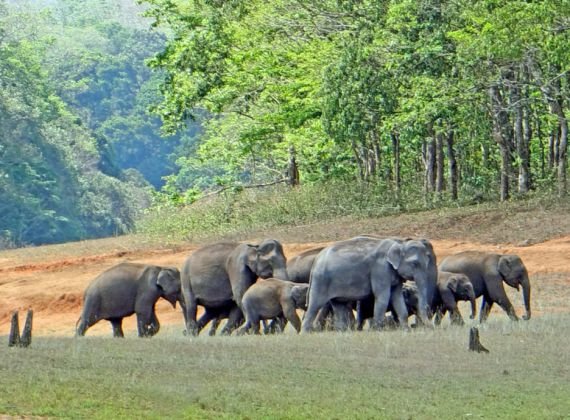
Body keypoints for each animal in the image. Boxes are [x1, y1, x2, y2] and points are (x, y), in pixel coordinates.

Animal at [302, 236, 430, 332]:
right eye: (414, 263)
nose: (429, 327)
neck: (399, 244)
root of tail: (316, 259)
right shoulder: (380, 269)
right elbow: (383, 297)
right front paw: (379, 331)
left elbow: (397, 298)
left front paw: (406, 331)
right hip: (321, 281)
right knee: (314, 305)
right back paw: (305, 333)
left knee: (339, 306)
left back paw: (342, 332)